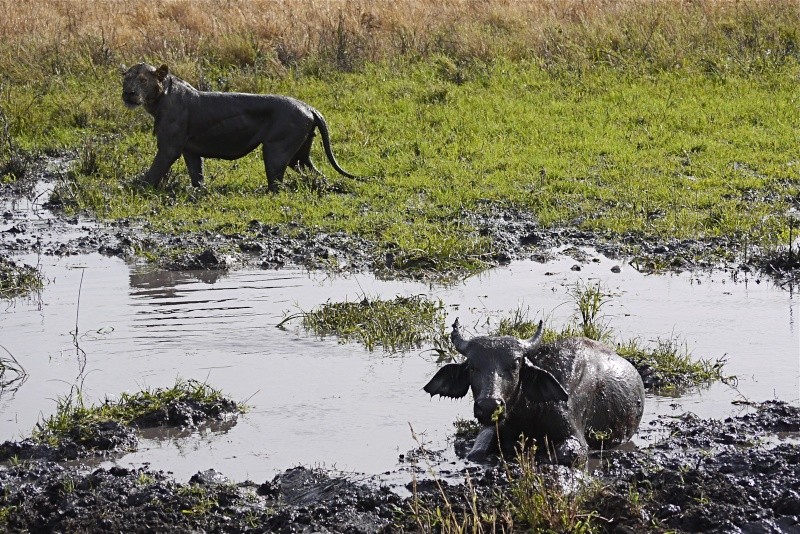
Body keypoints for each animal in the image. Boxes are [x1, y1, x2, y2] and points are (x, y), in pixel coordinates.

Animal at [122, 63, 360, 193]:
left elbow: (154, 171)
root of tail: (309, 107)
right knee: (317, 174)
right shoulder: (190, 151)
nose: (128, 93)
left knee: (277, 183)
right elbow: (196, 175)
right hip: (299, 155)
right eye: (126, 79)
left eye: (142, 80)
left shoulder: (169, 147)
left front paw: (137, 189)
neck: (158, 100)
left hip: (276, 150)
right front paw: (199, 191)